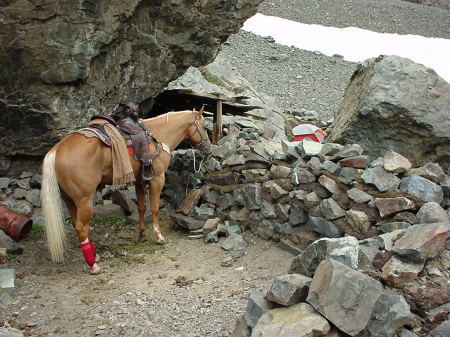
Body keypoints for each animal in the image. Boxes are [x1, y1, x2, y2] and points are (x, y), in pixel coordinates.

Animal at [40, 109, 213, 274]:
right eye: (205, 127)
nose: (209, 149)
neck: (158, 134)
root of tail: (56, 150)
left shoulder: (139, 181)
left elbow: (142, 207)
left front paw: (142, 235)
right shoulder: (157, 179)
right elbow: (155, 208)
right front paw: (158, 236)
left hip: (69, 200)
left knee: (76, 224)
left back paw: (95, 255)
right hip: (84, 199)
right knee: (81, 228)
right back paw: (93, 265)